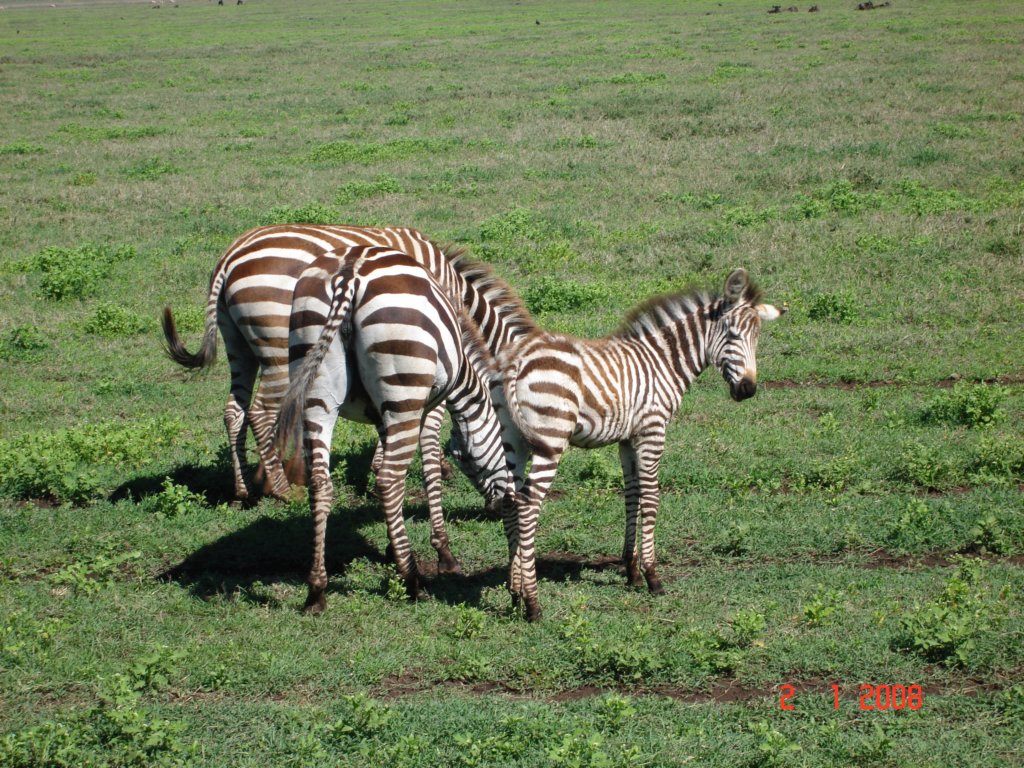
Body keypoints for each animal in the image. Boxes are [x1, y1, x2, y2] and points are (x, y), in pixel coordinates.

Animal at [160, 225, 507, 573]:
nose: (494, 510)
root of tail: (228, 256)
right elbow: (428, 440)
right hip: (275, 349)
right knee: (260, 412)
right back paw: (281, 488)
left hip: (239, 344)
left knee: (235, 410)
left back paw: (243, 489)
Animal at [276, 244, 512, 614]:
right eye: (463, 458)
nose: (497, 508)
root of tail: (349, 273)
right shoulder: (428, 406)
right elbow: (427, 469)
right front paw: (442, 553)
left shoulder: (382, 414)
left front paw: (393, 545)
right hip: (404, 385)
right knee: (389, 478)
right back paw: (412, 581)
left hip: (317, 388)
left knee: (321, 484)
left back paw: (317, 590)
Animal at [448, 262, 782, 622]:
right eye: (733, 335)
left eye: (757, 338)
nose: (748, 390)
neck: (663, 362)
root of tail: (514, 362)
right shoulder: (652, 429)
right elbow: (650, 496)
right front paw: (652, 576)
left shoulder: (627, 439)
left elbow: (631, 495)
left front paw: (631, 570)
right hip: (551, 439)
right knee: (528, 505)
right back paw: (533, 603)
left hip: (513, 439)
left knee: (511, 501)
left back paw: (514, 593)